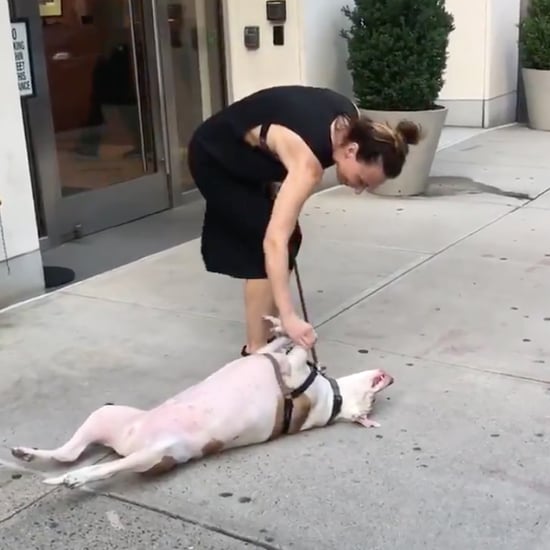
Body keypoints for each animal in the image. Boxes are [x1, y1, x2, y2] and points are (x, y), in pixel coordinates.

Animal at [10, 316, 394, 490]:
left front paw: (299, 331)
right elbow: (281, 342)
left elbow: (300, 347)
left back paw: (72, 479)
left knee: (97, 467)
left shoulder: (295, 372)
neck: (334, 399)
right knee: (68, 453)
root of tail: (126, 443)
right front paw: (281, 325)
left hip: (151, 454)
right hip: (106, 414)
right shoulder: (268, 354)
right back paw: (29, 454)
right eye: (373, 399)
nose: (390, 378)